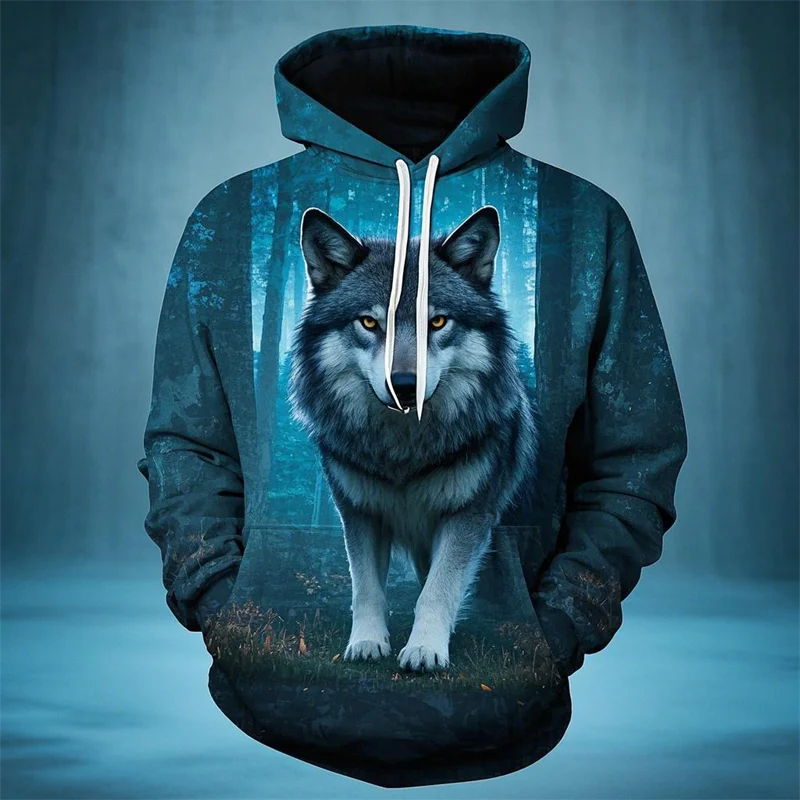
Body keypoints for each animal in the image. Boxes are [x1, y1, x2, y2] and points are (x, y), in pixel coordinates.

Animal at [288, 205, 538, 673]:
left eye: (436, 322)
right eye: (369, 322)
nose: (405, 384)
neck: (404, 451)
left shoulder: (467, 514)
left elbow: (438, 589)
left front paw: (425, 649)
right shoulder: (359, 512)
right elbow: (366, 588)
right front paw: (367, 642)